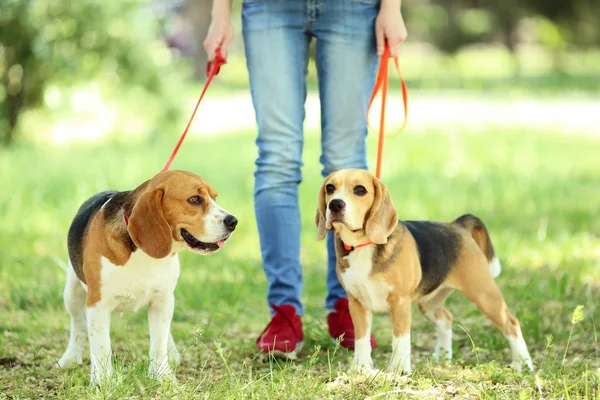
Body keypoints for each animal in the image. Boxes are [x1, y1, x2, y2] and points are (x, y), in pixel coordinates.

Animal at [56, 170, 237, 386]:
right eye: (194, 199)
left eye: (215, 198)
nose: (233, 221)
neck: (142, 254)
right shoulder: (98, 304)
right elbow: (101, 347)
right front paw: (103, 381)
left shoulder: (162, 299)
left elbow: (158, 343)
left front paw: (163, 376)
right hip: (72, 293)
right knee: (78, 324)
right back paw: (70, 358)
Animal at [314, 169, 536, 376]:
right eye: (330, 188)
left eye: (360, 190)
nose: (335, 205)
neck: (364, 245)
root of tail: (458, 226)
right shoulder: (357, 302)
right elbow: (361, 340)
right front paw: (360, 369)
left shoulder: (400, 302)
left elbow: (400, 340)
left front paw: (400, 370)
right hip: (429, 303)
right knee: (446, 319)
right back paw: (443, 357)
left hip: (483, 294)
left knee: (512, 323)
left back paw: (523, 364)